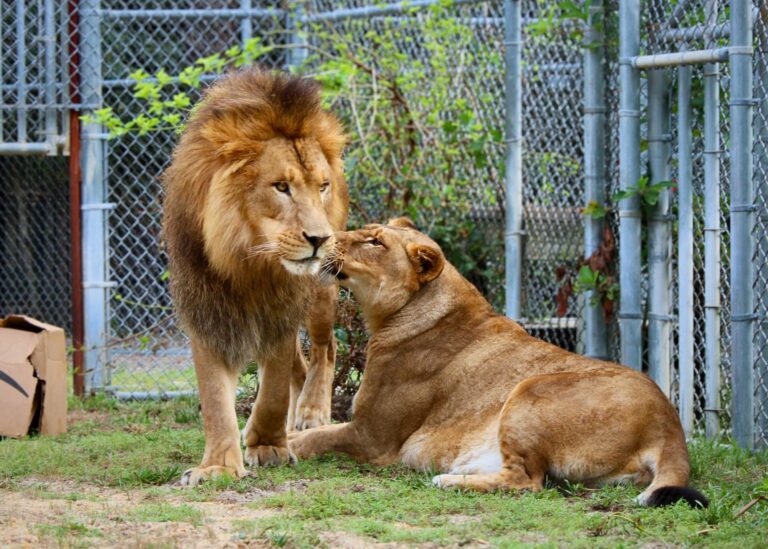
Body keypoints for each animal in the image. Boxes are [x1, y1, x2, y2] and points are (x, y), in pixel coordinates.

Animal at [162, 69, 348, 486]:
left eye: (322, 186)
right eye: (281, 186)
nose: (319, 238)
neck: (248, 260)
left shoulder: (281, 310)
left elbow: (274, 387)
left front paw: (267, 447)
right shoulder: (206, 310)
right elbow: (215, 397)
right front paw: (218, 465)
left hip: (321, 291)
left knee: (325, 349)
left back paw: (311, 412)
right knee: (301, 366)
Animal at [289, 219, 708, 508]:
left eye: (375, 241)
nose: (325, 237)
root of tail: (670, 424)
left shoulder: (373, 437)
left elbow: (313, 437)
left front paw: (281, 450)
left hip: (531, 389)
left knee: (528, 481)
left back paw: (449, 480)